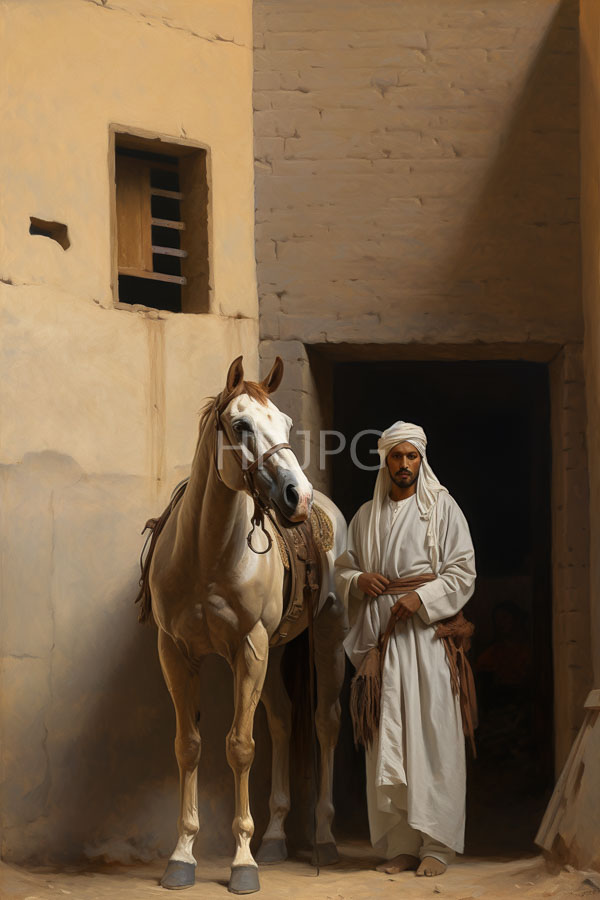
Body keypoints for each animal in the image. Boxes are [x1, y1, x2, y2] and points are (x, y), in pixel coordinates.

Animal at [138, 355, 348, 894]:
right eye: (241, 425)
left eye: (288, 424)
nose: (298, 496)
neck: (207, 554)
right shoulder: (175, 652)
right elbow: (189, 746)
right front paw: (183, 857)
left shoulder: (248, 649)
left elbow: (240, 746)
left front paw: (242, 863)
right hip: (275, 650)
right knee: (282, 718)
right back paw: (275, 837)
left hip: (326, 639)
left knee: (325, 722)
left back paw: (323, 837)